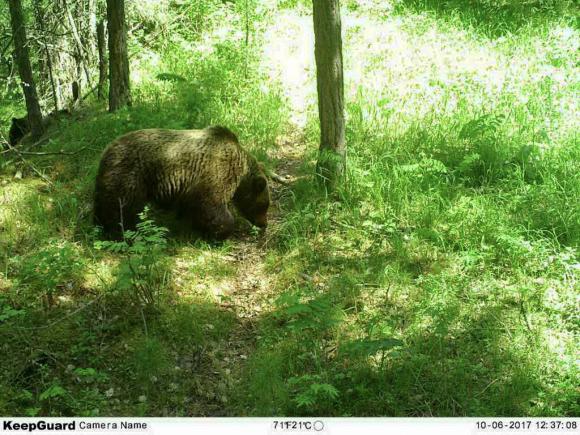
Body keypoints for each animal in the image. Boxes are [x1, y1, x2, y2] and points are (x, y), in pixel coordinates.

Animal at [93, 126, 270, 240]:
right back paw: (118, 231)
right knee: (119, 207)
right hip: (130, 176)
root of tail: (107, 150)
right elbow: (211, 204)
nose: (264, 224)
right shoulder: (216, 173)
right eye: (264, 205)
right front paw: (221, 232)